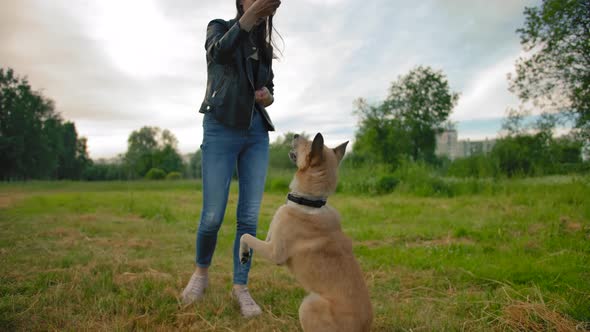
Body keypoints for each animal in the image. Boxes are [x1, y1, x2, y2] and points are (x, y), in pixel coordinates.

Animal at [239, 133, 370, 332]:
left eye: (307, 143)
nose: (295, 135)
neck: (310, 202)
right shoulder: (271, 237)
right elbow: (249, 235)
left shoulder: (275, 253)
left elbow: (244, 235)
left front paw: (244, 254)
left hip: (308, 304)